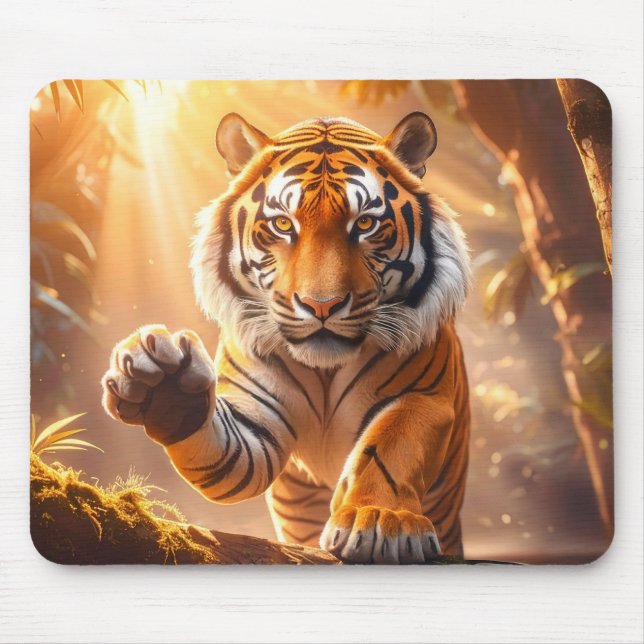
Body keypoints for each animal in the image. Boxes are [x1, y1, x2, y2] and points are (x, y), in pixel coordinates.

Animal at [102, 111, 472, 564]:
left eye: (365, 224)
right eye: (282, 224)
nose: (321, 305)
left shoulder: (423, 396)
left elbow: (390, 448)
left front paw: (380, 520)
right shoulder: (253, 417)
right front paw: (166, 388)